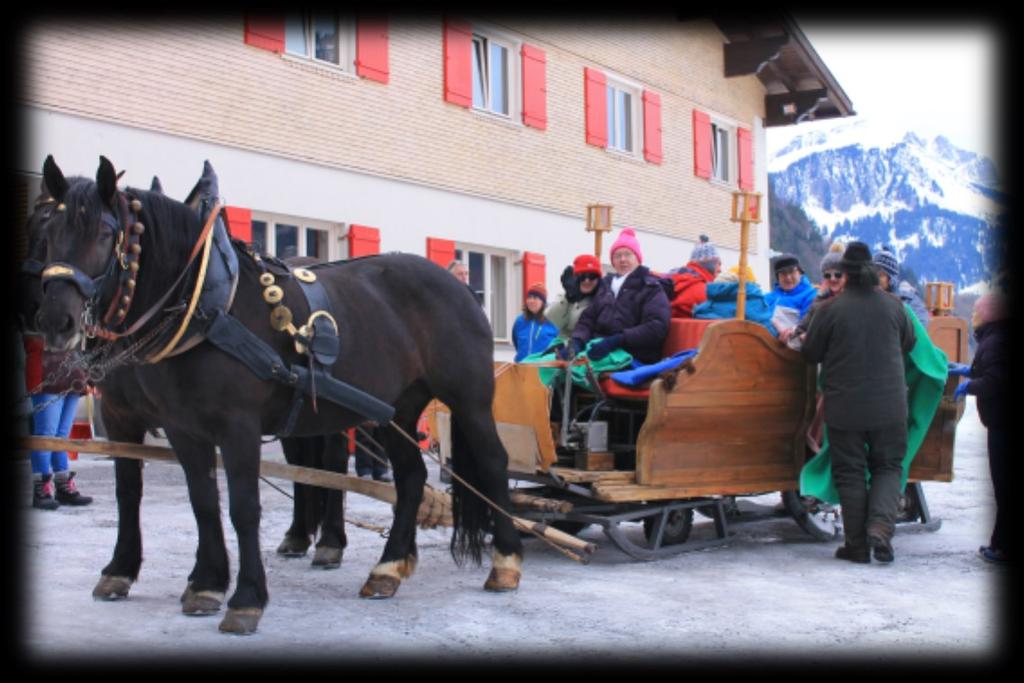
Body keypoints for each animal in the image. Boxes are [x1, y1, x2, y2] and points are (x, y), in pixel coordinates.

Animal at [36, 154, 524, 634]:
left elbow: (243, 507)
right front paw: (205, 583)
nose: (56, 321)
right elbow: (199, 500)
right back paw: (387, 569)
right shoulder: (180, 428)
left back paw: (505, 563)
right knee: (410, 477)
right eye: (47, 232)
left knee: (492, 464)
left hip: (468, 400)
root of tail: (461, 285)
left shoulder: (237, 426)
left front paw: (247, 598)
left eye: (104, 234)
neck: (206, 306)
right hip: (395, 410)